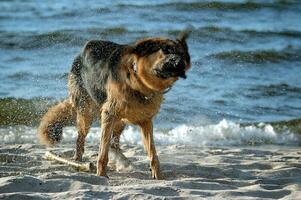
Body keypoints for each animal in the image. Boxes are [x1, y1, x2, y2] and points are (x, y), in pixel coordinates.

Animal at [38, 31, 190, 180]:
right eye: (165, 50)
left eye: (181, 53)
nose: (179, 62)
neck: (138, 82)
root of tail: (79, 56)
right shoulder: (108, 115)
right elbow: (102, 153)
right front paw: (101, 175)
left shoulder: (146, 121)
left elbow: (153, 154)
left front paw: (158, 176)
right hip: (87, 114)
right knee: (81, 139)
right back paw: (78, 160)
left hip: (120, 121)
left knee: (113, 143)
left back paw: (121, 161)